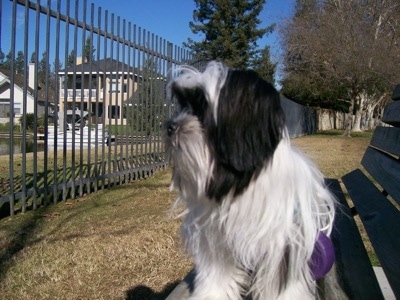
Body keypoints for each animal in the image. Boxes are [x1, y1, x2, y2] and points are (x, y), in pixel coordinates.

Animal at [162, 61, 344, 300]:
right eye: (182, 106)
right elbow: (216, 276)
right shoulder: (216, 240)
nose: (170, 126)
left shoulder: (282, 243)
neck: (238, 186)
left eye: (202, 109)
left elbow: (281, 284)